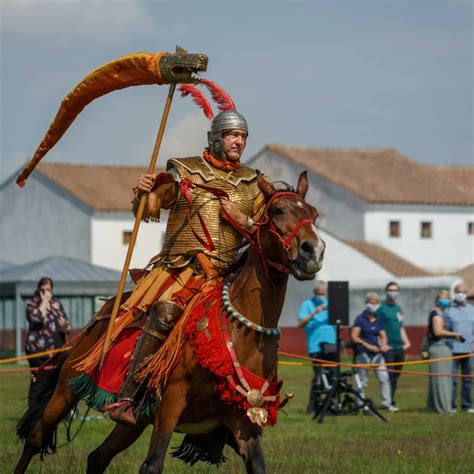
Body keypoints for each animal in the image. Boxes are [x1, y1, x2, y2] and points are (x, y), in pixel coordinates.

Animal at [14, 172, 326, 472]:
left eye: (314, 213)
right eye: (276, 210)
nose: (314, 250)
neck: (242, 330)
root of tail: (100, 318)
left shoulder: (245, 421)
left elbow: (258, 464)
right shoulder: (170, 405)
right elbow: (152, 464)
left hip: (134, 423)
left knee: (97, 458)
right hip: (67, 388)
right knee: (35, 439)